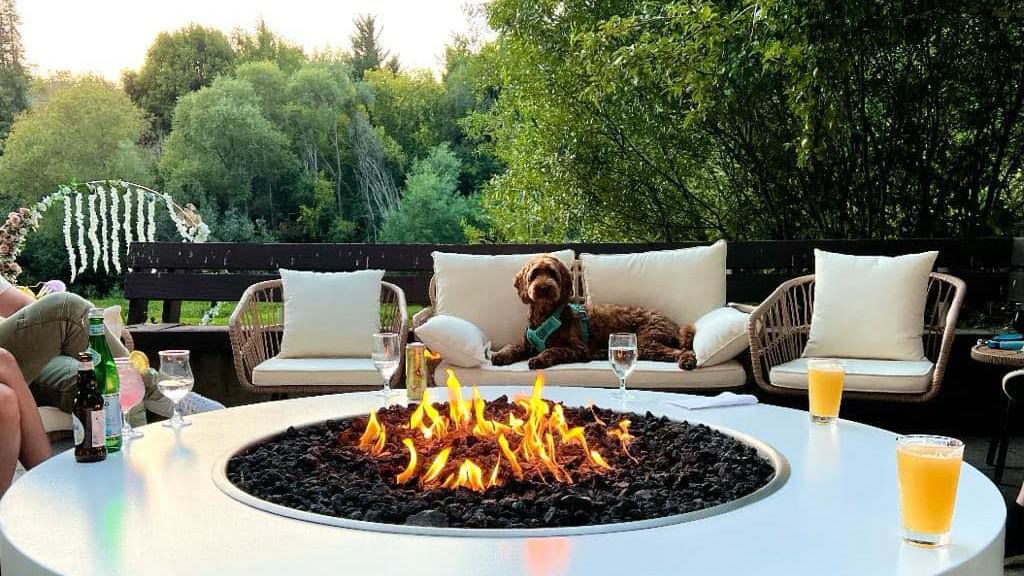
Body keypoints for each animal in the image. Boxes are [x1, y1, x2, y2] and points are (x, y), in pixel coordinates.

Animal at [491, 253, 700, 368]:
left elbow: (554, 350)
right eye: (534, 274)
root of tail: (674, 324)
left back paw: (687, 361)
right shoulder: (528, 345)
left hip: (647, 340)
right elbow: (512, 346)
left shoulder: (577, 348)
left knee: (682, 350)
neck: (547, 314)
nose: (543, 287)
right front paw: (500, 355)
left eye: (552, 274)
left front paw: (539, 359)